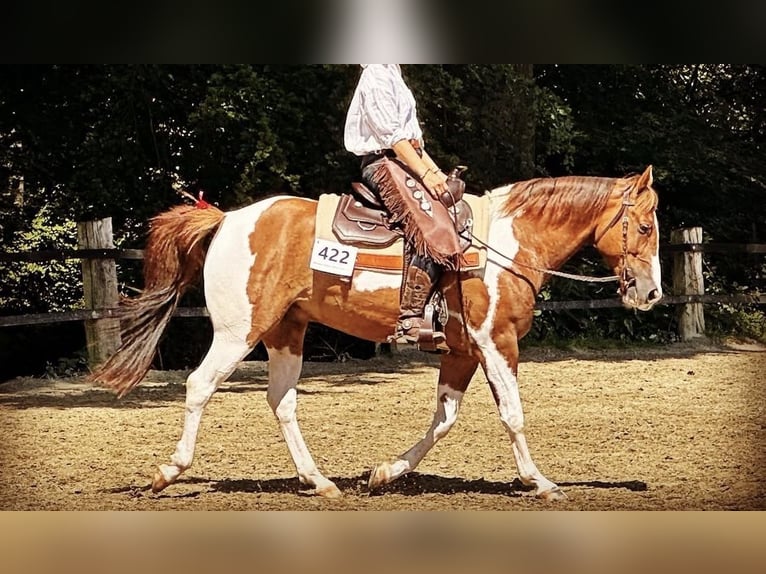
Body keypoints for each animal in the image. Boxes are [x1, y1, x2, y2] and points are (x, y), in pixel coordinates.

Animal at [90, 165, 662, 501]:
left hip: (285, 332)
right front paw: (540, 483)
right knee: (199, 386)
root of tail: (227, 219)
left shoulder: (461, 350)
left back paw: (320, 482)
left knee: (281, 400)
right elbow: (513, 415)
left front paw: (384, 472)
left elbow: (444, 419)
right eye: (647, 225)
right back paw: (169, 472)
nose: (652, 292)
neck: (509, 244)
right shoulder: (496, 341)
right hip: (238, 331)